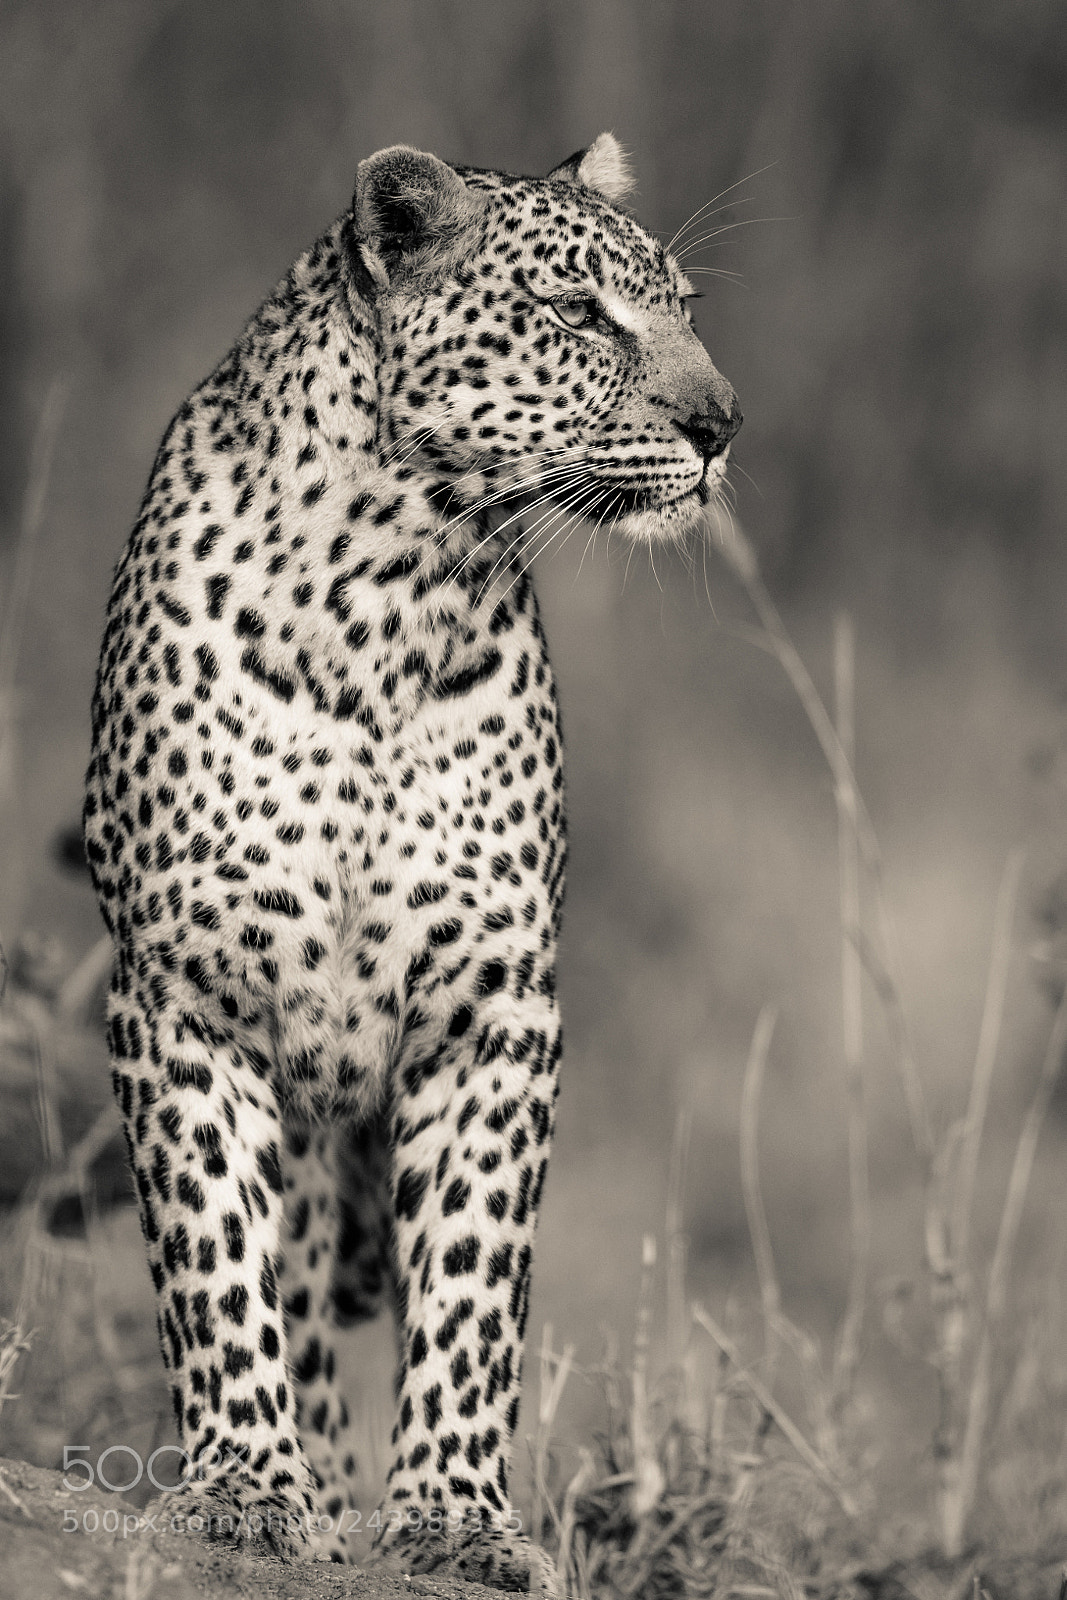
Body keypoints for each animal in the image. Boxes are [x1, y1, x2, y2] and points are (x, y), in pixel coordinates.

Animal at [82, 131, 740, 1591]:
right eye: (578, 315)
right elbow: (216, 1256)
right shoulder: (187, 988)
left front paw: (452, 1517)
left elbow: (474, 1281)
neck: (387, 593)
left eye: (681, 308)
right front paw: (244, 1490)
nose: (723, 425)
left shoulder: (493, 1006)